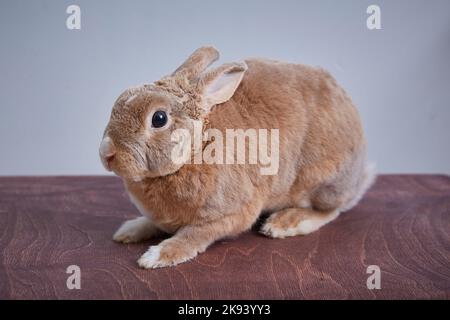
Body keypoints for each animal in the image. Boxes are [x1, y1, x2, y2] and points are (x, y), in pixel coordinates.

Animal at [99, 46, 376, 268]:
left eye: (159, 118)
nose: (106, 152)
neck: (196, 148)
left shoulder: (227, 215)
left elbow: (192, 236)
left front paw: (156, 256)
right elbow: (152, 222)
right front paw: (128, 231)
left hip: (322, 180)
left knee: (331, 210)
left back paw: (286, 222)